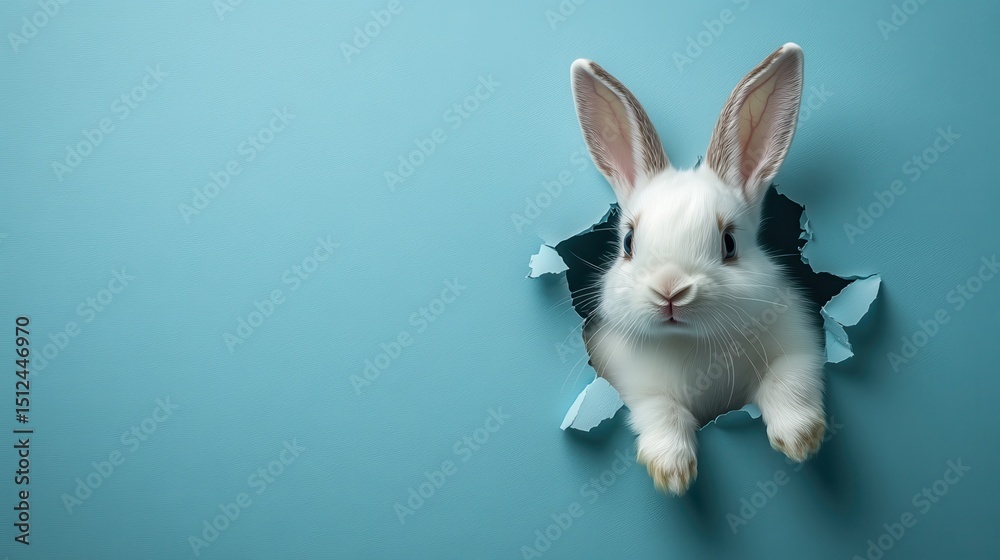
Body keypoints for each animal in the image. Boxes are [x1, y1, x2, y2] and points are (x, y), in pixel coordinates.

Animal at [570, 43, 825, 495]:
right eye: (628, 242)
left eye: (729, 243)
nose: (670, 291)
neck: (692, 341)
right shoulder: (633, 384)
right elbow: (660, 410)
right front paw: (671, 473)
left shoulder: (800, 347)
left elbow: (789, 380)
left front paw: (801, 440)